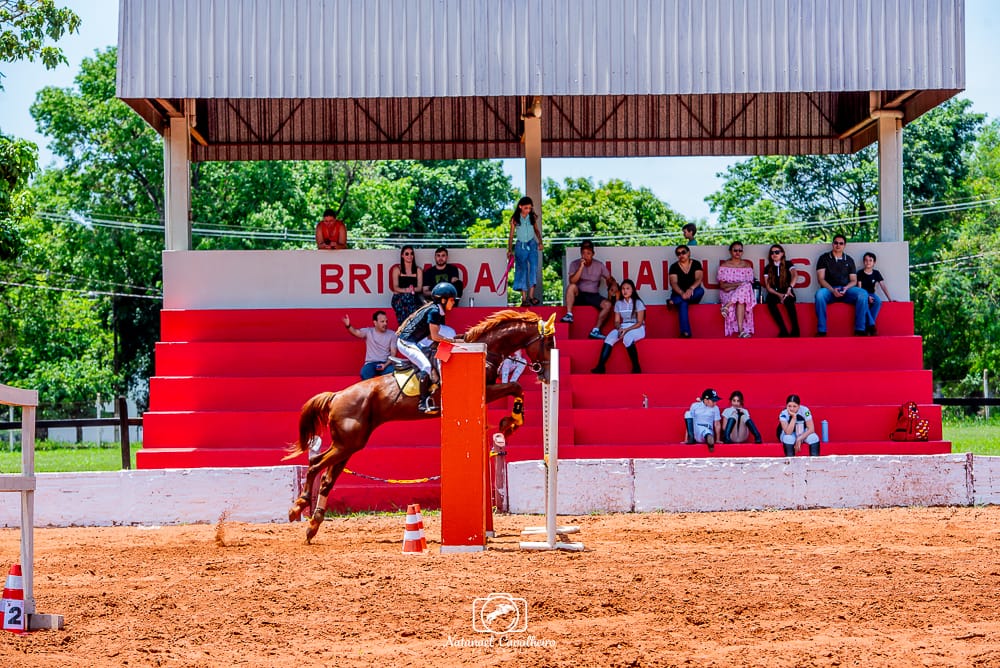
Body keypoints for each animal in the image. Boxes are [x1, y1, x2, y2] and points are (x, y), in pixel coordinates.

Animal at [286, 312, 560, 544]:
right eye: (548, 343)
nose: (546, 375)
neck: (487, 351)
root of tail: (337, 396)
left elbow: (516, 388)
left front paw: (509, 422)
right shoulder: (488, 389)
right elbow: (515, 386)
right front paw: (510, 423)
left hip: (349, 445)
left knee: (327, 479)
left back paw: (313, 526)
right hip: (347, 443)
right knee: (314, 464)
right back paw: (298, 507)